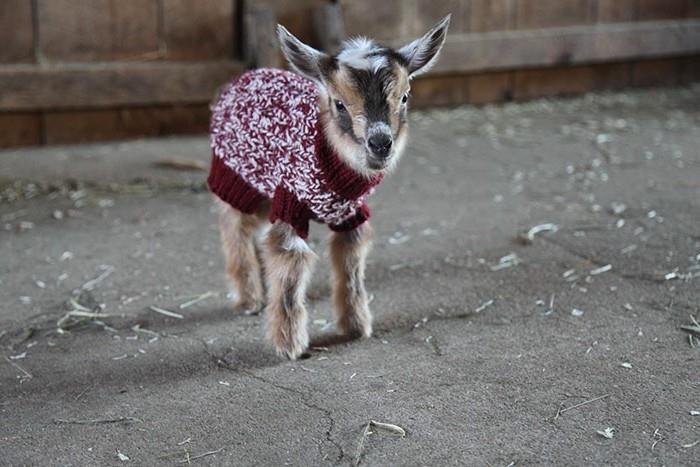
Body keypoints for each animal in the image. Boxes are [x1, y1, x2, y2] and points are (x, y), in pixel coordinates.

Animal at [205, 14, 452, 358]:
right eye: (339, 104)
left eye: (404, 97)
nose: (380, 144)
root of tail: (242, 77)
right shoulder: (290, 200)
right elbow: (289, 261)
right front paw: (290, 345)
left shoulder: (349, 213)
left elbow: (350, 261)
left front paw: (356, 326)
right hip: (235, 175)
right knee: (234, 225)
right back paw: (249, 298)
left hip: (265, 186)